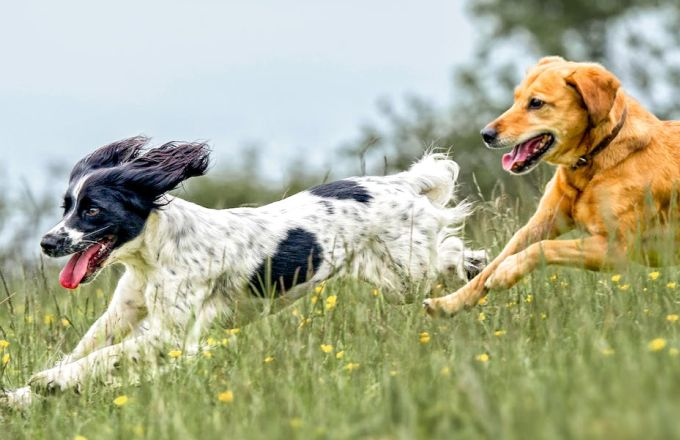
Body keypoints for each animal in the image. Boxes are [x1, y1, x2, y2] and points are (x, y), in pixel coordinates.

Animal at [2, 137, 486, 406]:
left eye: (92, 210)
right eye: (67, 206)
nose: (47, 243)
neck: (152, 255)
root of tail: (401, 183)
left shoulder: (171, 333)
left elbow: (102, 358)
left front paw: (49, 382)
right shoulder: (125, 312)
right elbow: (88, 350)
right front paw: (19, 397)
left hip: (406, 271)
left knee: (448, 251)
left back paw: (474, 266)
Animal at [428, 55, 680, 316]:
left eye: (536, 103)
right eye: (516, 99)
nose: (486, 134)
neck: (592, 160)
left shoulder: (614, 249)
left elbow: (543, 248)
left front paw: (506, 272)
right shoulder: (541, 222)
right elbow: (494, 263)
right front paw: (448, 303)